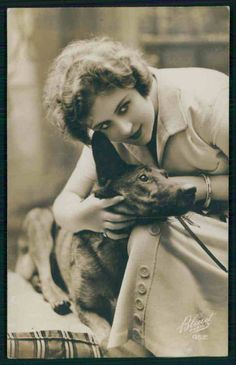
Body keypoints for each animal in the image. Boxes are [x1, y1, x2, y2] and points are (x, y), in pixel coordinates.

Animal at [14, 132, 195, 348]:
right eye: (143, 178)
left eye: (166, 175)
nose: (192, 189)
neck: (116, 245)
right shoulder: (87, 309)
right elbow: (106, 337)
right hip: (40, 220)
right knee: (44, 272)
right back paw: (57, 295)